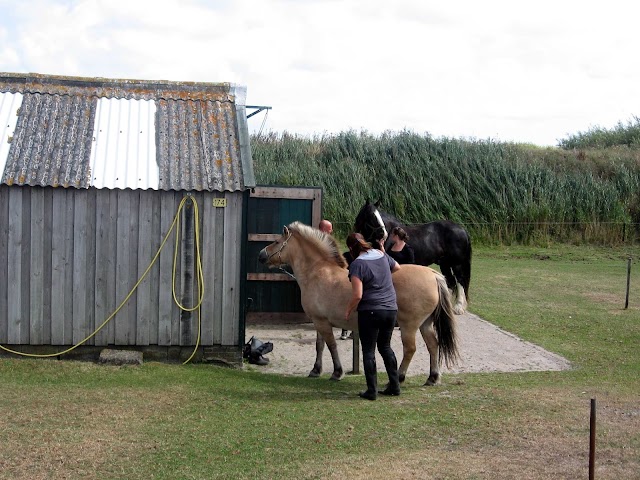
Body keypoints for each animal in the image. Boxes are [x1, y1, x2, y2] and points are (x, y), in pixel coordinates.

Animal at [256, 222, 460, 386]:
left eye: (276, 241)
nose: (261, 255)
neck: (318, 272)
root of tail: (433, 275)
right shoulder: (318, 321)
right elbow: (319, 345)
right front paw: (315, 370)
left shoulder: (323, 323)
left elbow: (331, 345)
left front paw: (337, 372)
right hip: (425, 324)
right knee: (433, 346)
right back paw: (432, 378)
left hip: (409, 326)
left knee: (410, 349)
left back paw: (400, 377)